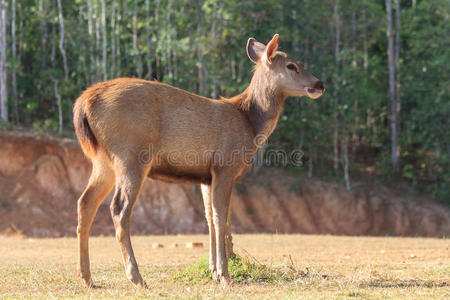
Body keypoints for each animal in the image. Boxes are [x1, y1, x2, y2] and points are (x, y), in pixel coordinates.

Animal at [74, 33, 326, 288]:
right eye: (292, 65)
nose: (319, 84)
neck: (250, 123)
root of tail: (83, 103)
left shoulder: (206, 176)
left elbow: (209, 218)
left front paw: (213, 270)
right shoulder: (225, 166)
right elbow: (222, 218)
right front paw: (225, 274)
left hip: (103, 161)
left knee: (85, 202)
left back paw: (87, 277)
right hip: (131, 154)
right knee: (119, 208)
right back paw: (136, 276)